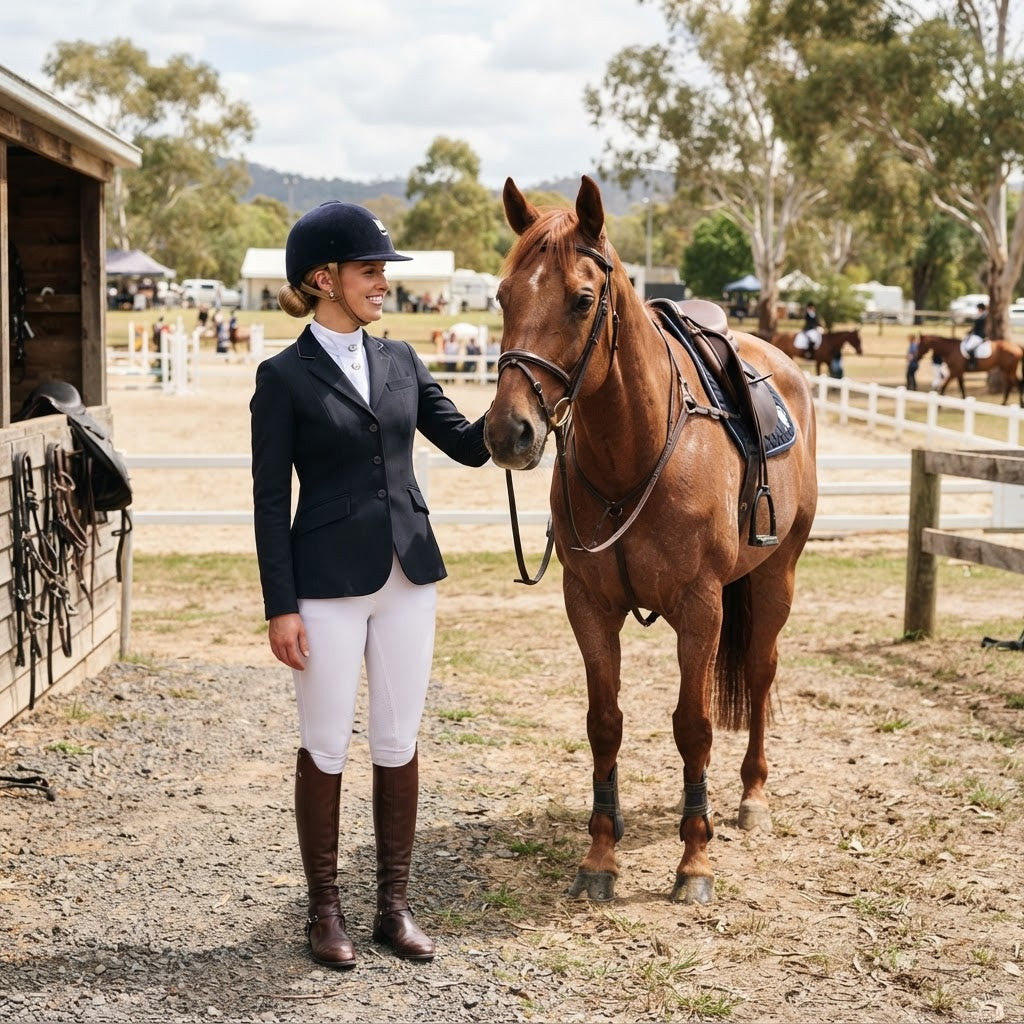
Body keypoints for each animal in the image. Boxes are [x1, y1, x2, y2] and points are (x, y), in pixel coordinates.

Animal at [484, 176, 818, 905]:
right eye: (501, 296)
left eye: (583, 300)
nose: (508, 432)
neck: (632, 455)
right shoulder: (588, 605)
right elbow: (604, 723)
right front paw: (600, 856)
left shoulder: (700, 606)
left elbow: (692, 727)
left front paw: (695, 860)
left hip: (776, 576)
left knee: (760, 672)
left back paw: (752, 797)